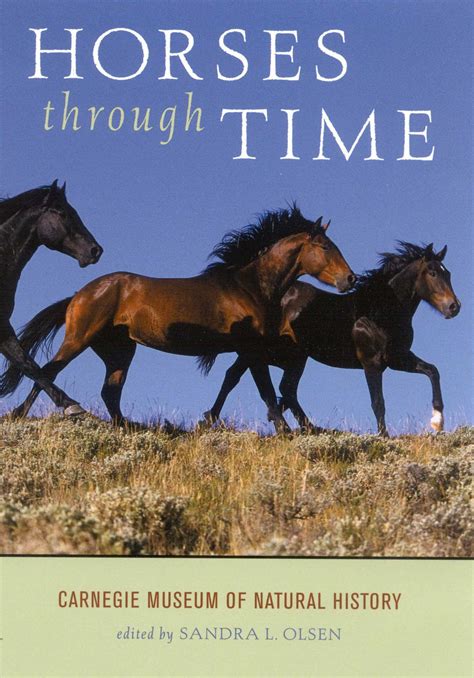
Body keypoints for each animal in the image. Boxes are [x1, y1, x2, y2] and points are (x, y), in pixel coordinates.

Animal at [0, 181, 102, 417]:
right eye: (62, 213)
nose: (95, 250)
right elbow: (28, 365)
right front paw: (71, 405)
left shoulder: (4, 328)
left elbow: (29, 364)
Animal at [0, 205, 355, 430]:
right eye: (325, 246)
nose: (349, 280)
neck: (249, 286)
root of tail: (79, 294)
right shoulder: (252, 349)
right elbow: (264, 388)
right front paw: (283, 429)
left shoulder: (246, 350)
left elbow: (234, 380)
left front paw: (209, 419)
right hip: (80, 338)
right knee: (49, 370)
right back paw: (30, 412)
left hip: (119, 350)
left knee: (109, 391)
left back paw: (127, 426)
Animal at [199, 242, 460, 435]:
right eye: (432, 273)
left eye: (448, 273)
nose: (454, 307)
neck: (379, 310)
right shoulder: (371, 363)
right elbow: (378, 402)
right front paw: (384, 437)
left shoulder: (398, 359)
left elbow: (432, 371)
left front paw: (437, 421)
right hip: (278, 354)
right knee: (248, 379)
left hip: (293, 356)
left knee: (278, 387)